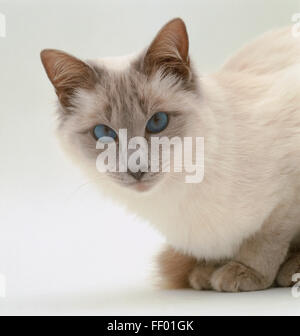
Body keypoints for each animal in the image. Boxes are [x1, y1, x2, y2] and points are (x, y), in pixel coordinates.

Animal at [41, 18, 300, 292]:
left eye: (157, 122)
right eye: (104, 133)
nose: (137, 169)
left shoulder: (286, 197)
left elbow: (264, 241)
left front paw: (245, 272)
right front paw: (208, 272)